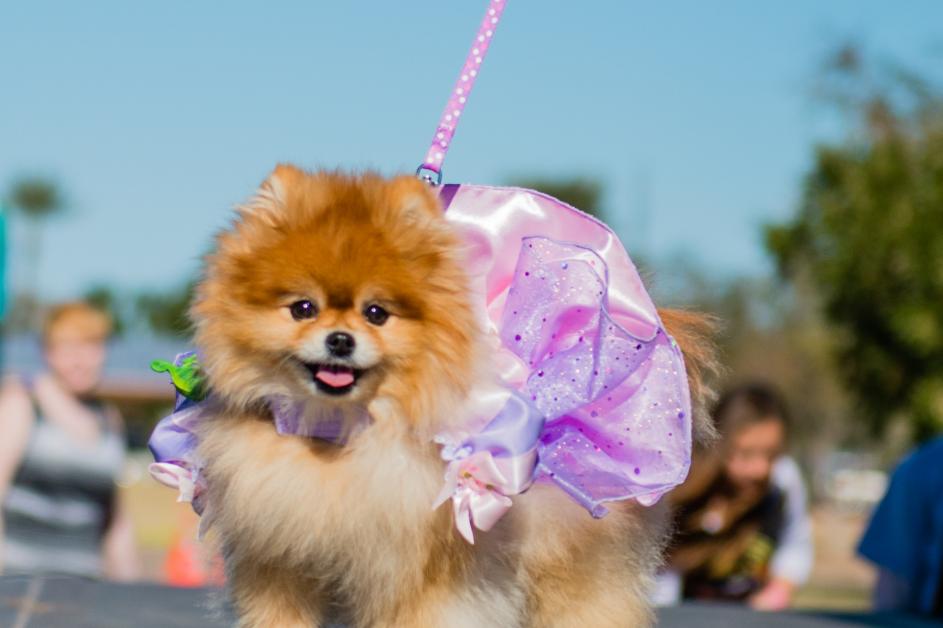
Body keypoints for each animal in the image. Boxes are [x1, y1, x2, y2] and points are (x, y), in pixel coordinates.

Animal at [195, 164, 720, 624]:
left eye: (376, 313)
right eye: (303, 308)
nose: (340, 340)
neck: (336, 437)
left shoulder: (419, 573)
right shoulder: (281, 563)